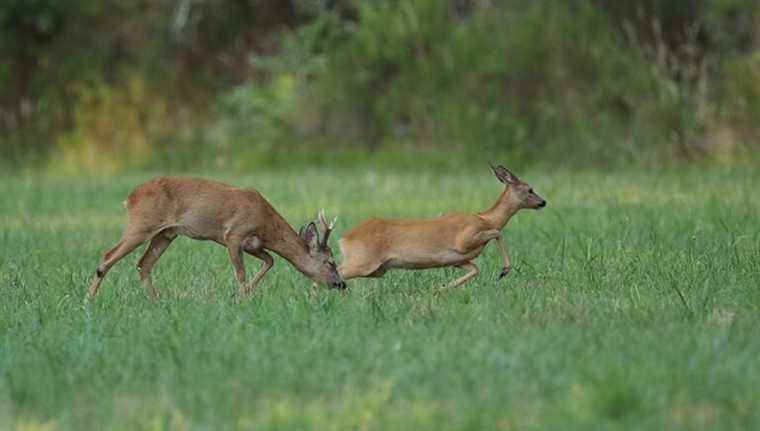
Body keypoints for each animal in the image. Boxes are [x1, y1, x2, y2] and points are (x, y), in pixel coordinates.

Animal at [87, 176, 344, 300]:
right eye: (330, 262)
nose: (341, 284)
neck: (265, 221)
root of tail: (130, 198)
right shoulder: (233, 234)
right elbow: (240, 272)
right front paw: (242, 298)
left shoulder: (253, 243)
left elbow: (270, 260)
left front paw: (246, 293)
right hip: (142, 224)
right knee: (107, 257)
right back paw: (88, 301)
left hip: (166, 234)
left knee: (144, 264)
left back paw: (156, 301)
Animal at [338, 165, 548, 290]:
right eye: (530, 189)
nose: (543, 202)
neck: (485, 218)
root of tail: (344, 238)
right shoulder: (464, 240)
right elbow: (497, 232)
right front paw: (504, 270)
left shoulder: (457, 259)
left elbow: (475, 270)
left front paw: (444, 288)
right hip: (363, 261)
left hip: (375, 269)